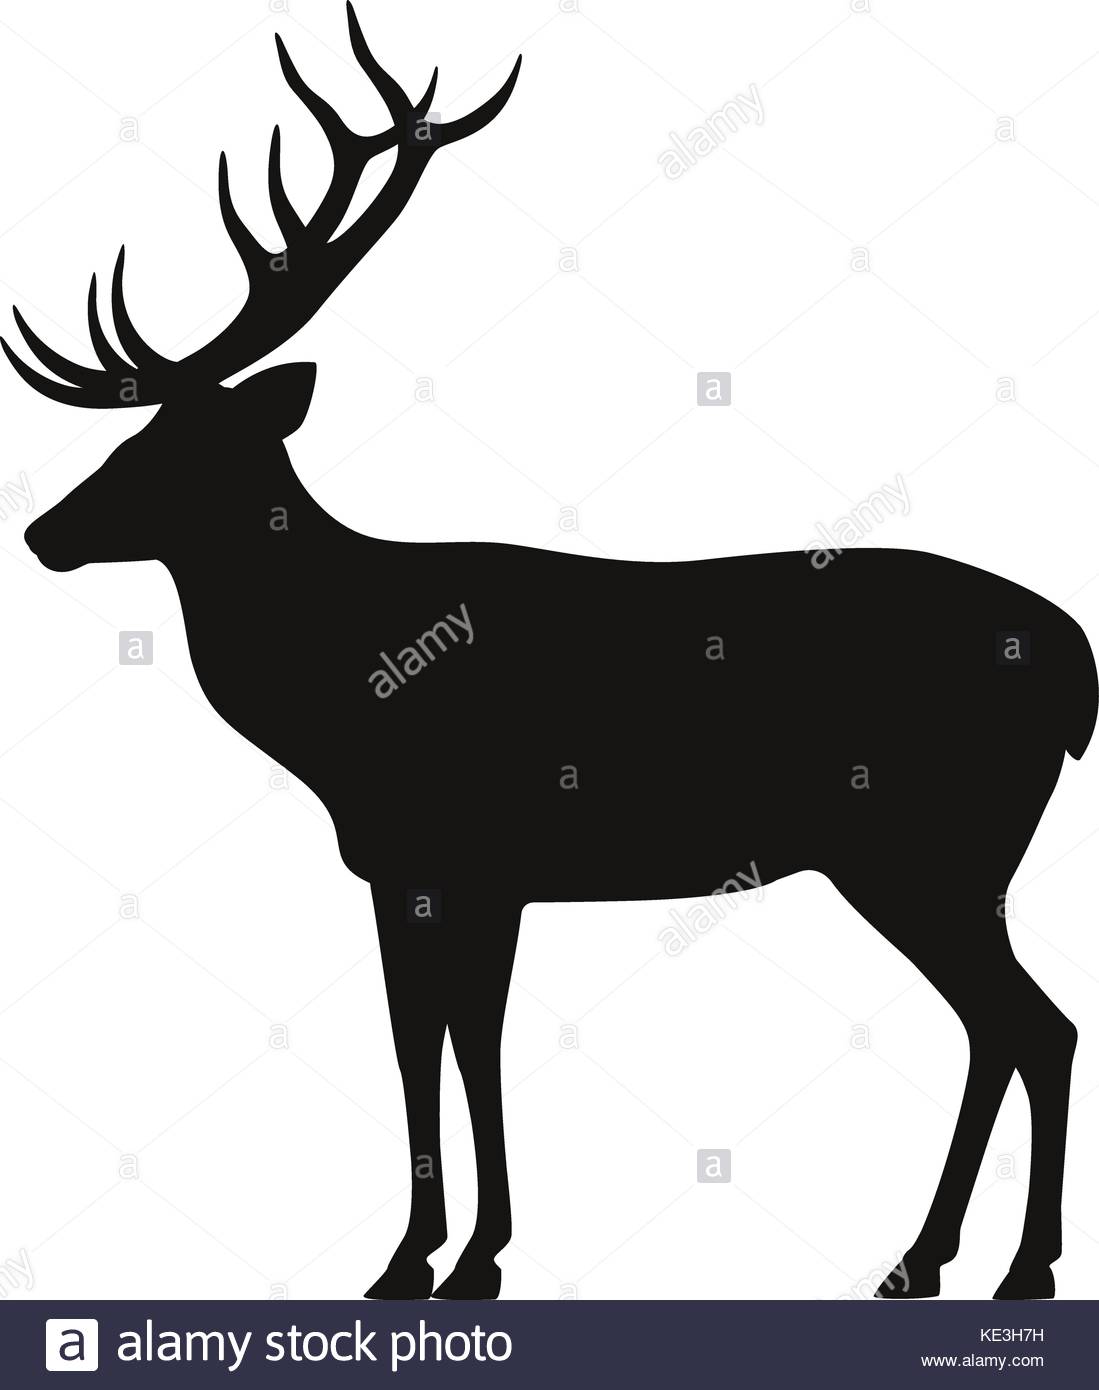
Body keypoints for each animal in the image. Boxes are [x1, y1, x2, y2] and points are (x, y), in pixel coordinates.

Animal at [5, 4, 1095, 1303]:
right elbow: (445, 1039)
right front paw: (445, 1254)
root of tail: (1078, 669)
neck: (341, 697)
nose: (41, 533)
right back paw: (929, 1261)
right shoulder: (444, 872)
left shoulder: (452, 854)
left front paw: (438, 1260)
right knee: (1006, 1024)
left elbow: (443, 1040)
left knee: (1032, 1022)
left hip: (924, 843)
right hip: (944, 860)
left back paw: (1008, 1268)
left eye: (175, 450)